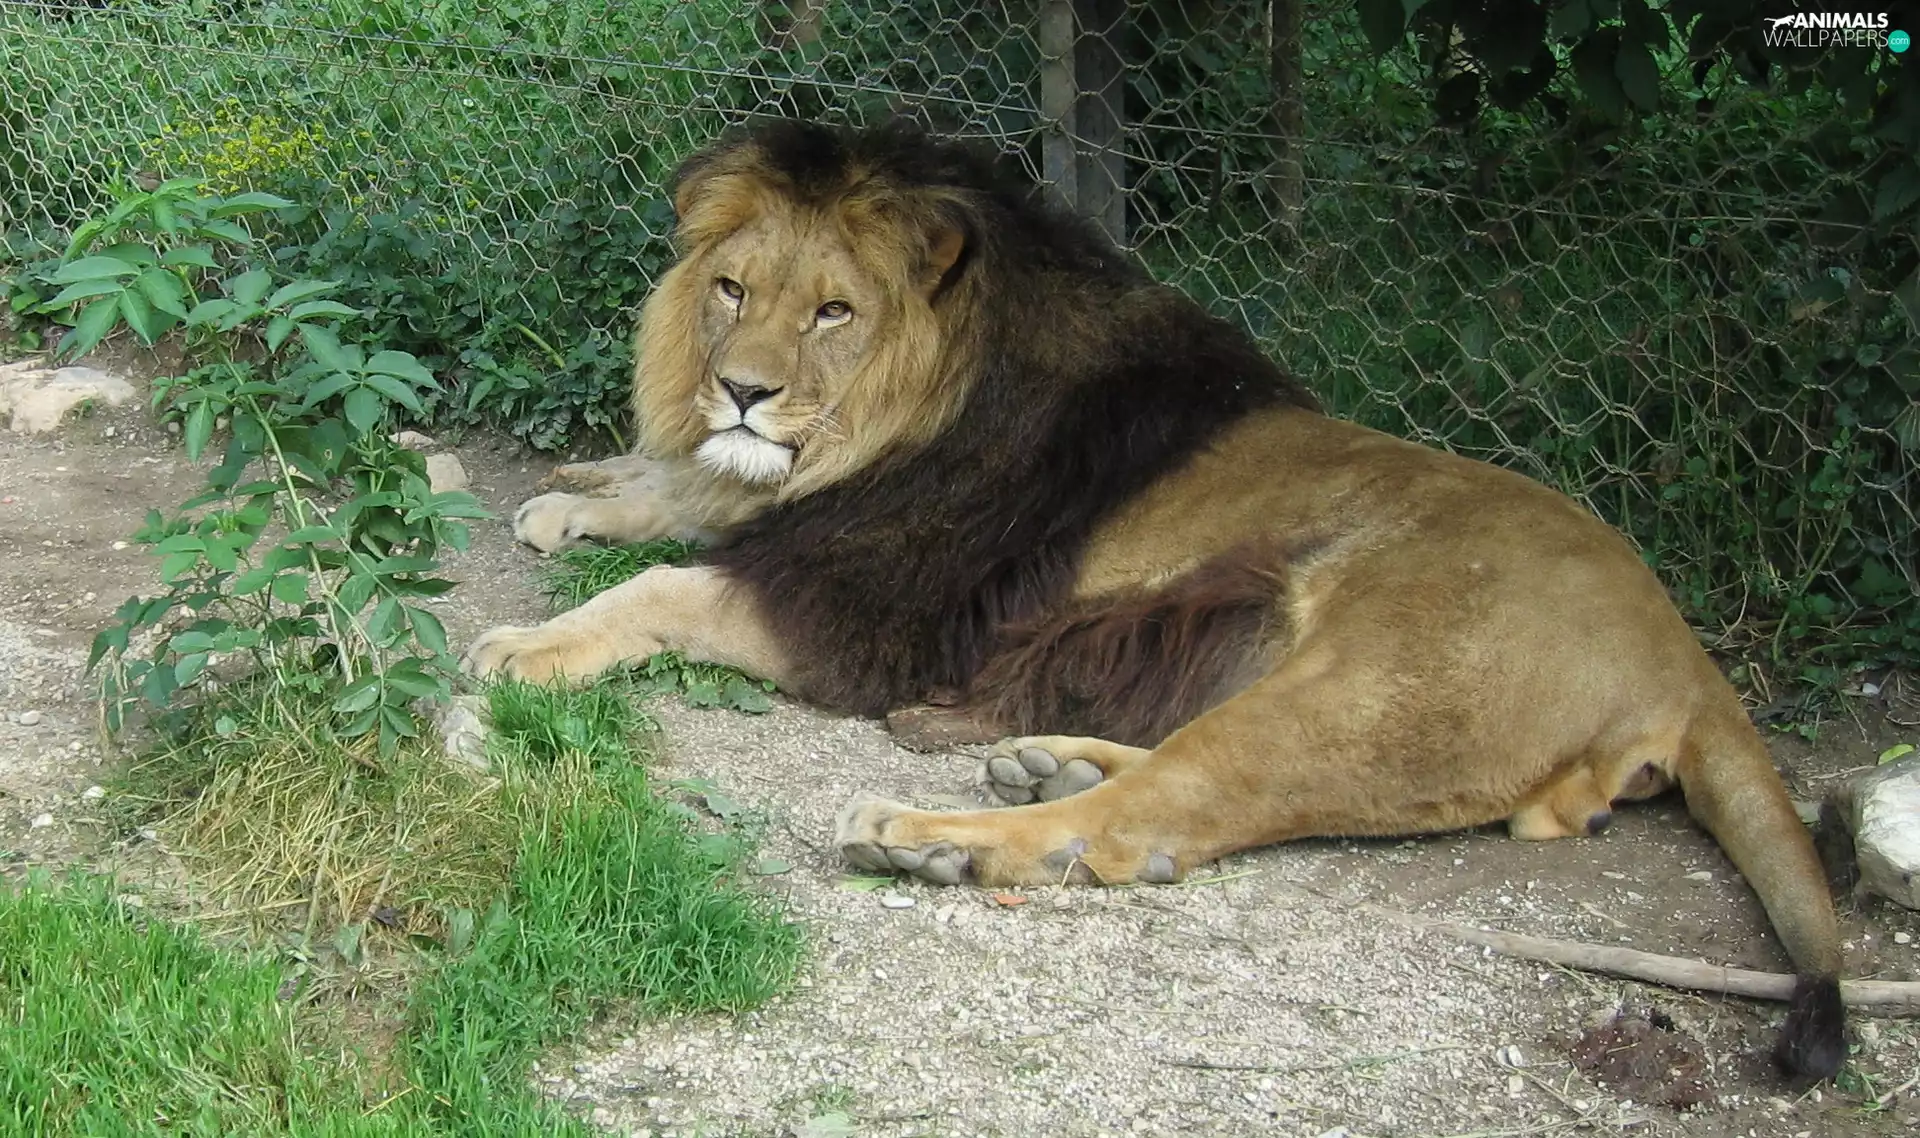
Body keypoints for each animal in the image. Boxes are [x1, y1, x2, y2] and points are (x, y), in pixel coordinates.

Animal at [462, 117, 1846, 1079]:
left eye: (836, 311)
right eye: (733, 290)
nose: (741, 390)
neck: (907, 416)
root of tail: (1684, 654)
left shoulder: (868, 614)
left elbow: (661, 588)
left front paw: (526, 642)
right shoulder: (804, 513)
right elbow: (681, 496)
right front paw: (582, 492)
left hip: (1366, 689)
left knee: (1145, 827)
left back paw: (929, 834)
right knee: (1156, 783)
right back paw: (1039, 759)